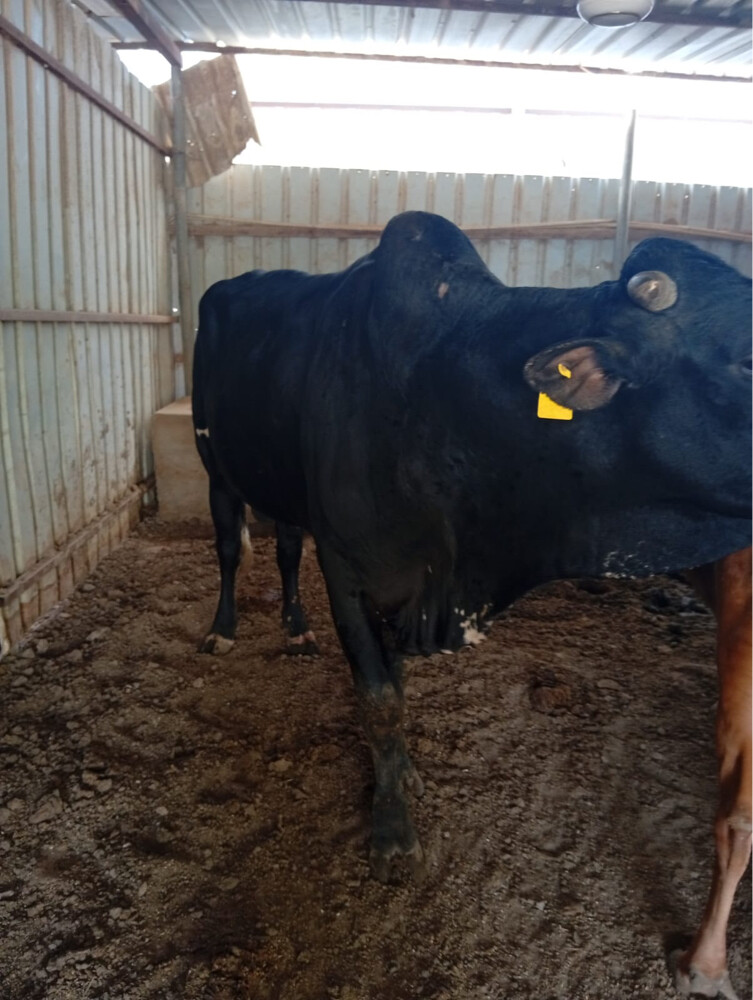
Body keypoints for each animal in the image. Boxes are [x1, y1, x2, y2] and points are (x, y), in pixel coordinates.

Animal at [192, 211, 751, 998]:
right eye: (747, 363)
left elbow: (393, 688)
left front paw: (401, 776)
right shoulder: (349, 572)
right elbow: (379, 699)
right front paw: (393, 832)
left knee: (285, 545)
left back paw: (295, 627)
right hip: (217, 466)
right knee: (228, 546)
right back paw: (222, 629)